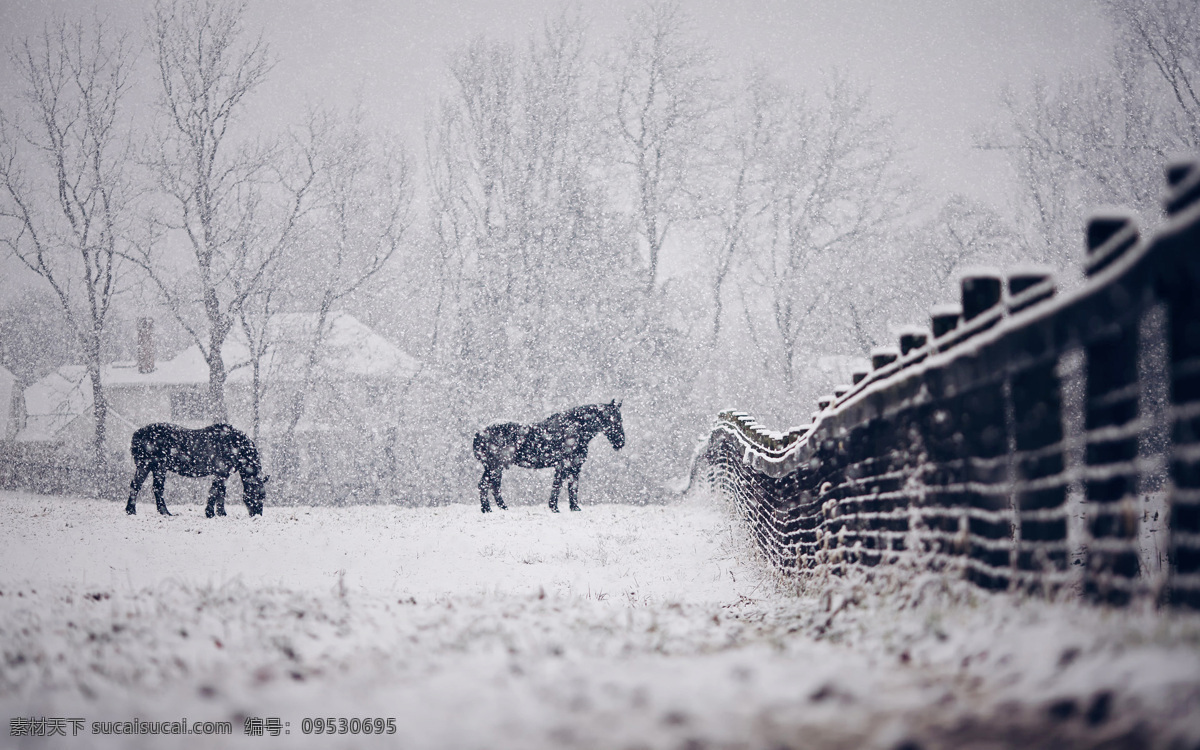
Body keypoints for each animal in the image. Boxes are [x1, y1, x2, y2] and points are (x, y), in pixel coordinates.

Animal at [125, 424, 268, 518]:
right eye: (257, 494)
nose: (257, 515)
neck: (234, 445)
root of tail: (138, 434)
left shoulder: (224, 474)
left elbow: (221, 492)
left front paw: (221, 513)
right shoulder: (220, 472)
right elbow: (214, 491)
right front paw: (210, 513)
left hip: (156, 468)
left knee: (151, 487)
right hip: (149, 466)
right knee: (140, 486)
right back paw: (135, 510)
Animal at [470, 398, 628, 513]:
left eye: (620, 419)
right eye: (613, 419)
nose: (620, 443)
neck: (575, 429)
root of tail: (478, 433)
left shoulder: (574, 466)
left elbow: (572, 487)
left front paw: (573, 508)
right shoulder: (564, 465)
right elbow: (559, 486)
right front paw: (555, 508)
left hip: (496, 467)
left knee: (492, 486)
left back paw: (501, 508)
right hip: (494, 466)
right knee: (485, 485)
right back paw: (488, 509)